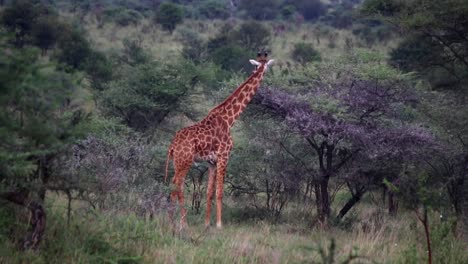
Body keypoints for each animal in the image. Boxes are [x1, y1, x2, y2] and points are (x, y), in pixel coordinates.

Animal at [165, 51, 272, 229]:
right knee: (176, 185)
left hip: (177, 162)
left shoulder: (211, 162)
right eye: (260, 66)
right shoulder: (224, 156)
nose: (263, 76)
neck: (229, 119)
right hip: (185, 161)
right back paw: (177, 223)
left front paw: (207, 223)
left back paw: (176, 221)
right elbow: (220, 192)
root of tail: (172, 145)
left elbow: (209, 192)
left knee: (175, 185)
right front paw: (220, 225)